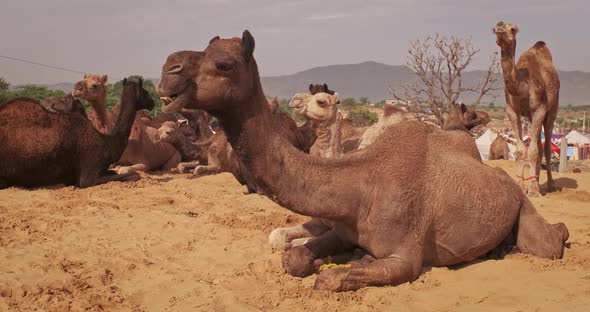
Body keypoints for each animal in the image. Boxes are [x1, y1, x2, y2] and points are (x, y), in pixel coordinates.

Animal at [492, 22, 560, 196]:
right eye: (494, 29)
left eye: (513, 29)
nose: (500, 26)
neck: (523, 86)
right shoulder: (512, 111)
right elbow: (521, 150)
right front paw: (522, 185)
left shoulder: (539, 110)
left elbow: (533, 150)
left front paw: (534, 190)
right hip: (529, 117)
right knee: (539, 147)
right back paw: (535, 180)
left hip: (552, 111)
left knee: (546, 147)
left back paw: (550, 185)